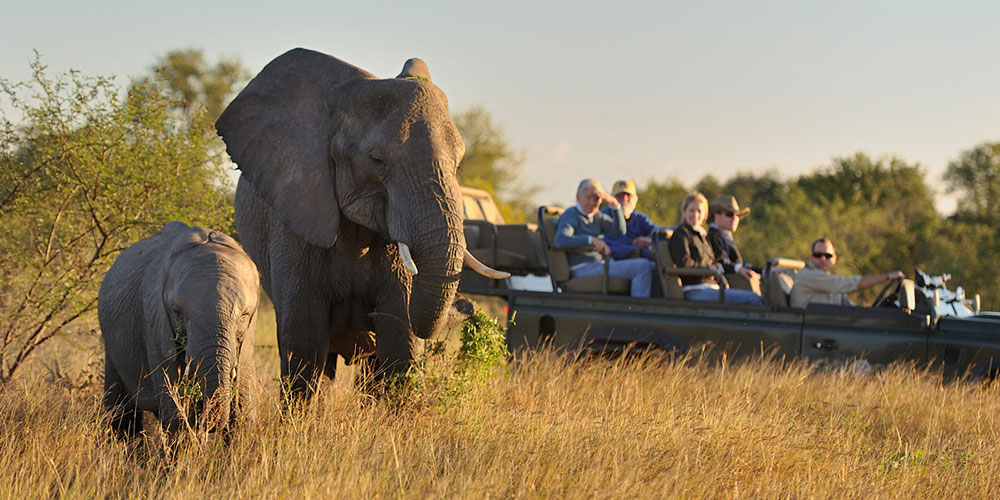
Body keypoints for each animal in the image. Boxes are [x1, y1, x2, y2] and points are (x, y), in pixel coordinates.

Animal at [98, 223, 258, 438]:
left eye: (244, 316)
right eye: (177, 313)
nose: (209, 425)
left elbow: (242, 413)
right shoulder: (155, 323)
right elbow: (174, 410)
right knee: (121, 416)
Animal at [215, 49, 504, 394]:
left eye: (458, 163)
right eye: (377, 160)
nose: (469, 307)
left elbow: (401, 344)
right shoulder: (296, 218)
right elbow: (303, 344)